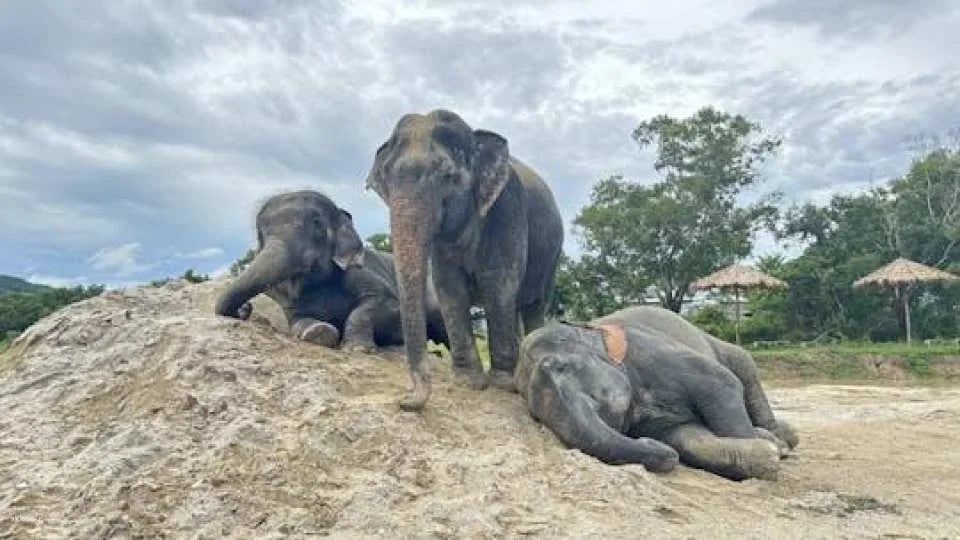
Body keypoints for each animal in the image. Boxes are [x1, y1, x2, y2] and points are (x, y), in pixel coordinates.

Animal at [214, 190, 449, 352]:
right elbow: (297, 321)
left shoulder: (358, 272)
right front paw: (319, 333)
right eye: (260, 233)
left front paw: (358, 349)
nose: (246, 309)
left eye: (317, 225)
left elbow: (382, 302)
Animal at [364, 109, 564, 411]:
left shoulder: (507, 209)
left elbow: (499, 284)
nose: (403, 400)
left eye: (447, 176)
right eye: (385, 181)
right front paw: (468, 382)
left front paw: (502, 385)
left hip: (552, 254)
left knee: (534, 304)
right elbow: (449, 288)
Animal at [514, 305, 799, 481]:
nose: (647, 442)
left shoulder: (650, 350)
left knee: (743, 366)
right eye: (534, 416)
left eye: (559, 367)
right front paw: (765, 452)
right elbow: (688, 438)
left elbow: (722, 383)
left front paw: (772, 450)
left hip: (722, 348)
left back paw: (782, 440)